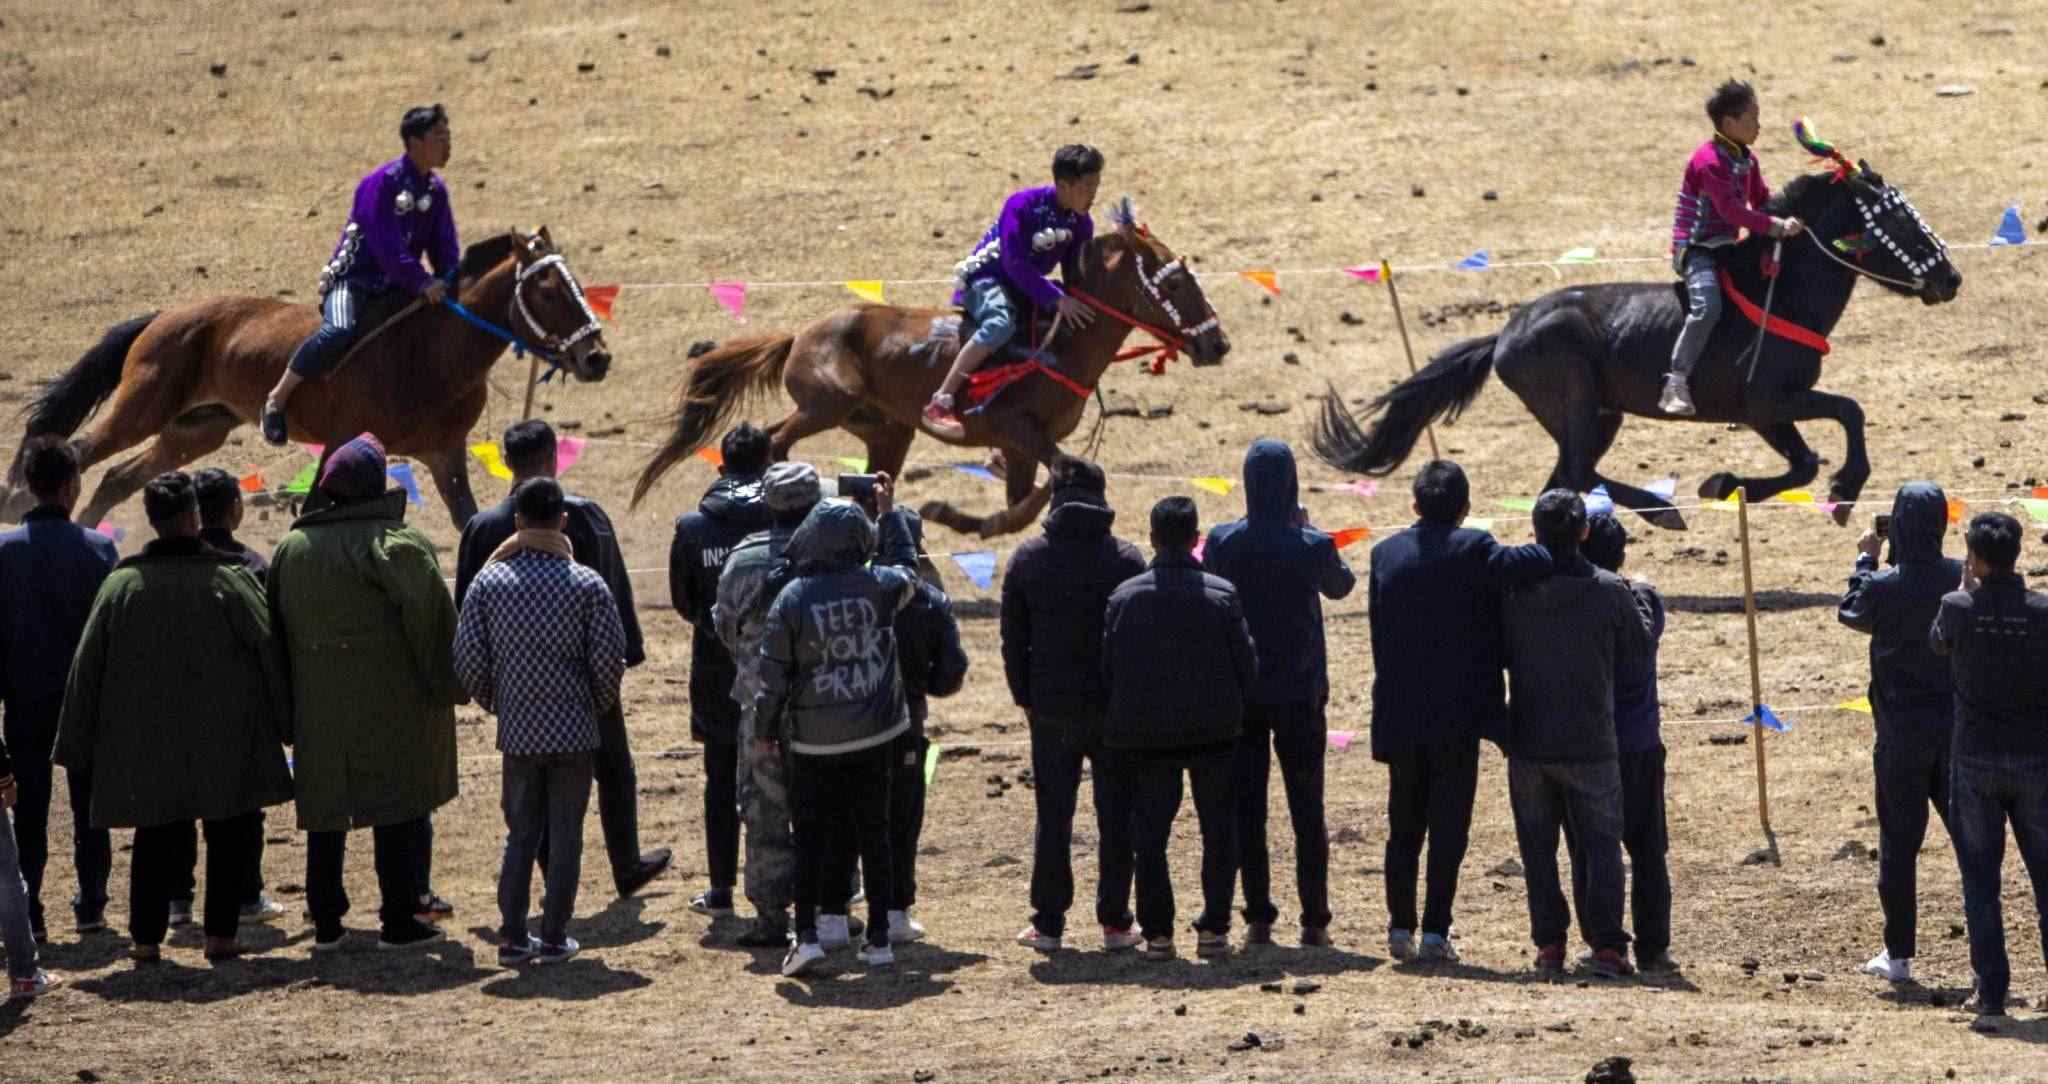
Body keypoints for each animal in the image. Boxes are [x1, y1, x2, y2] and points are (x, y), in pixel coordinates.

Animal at [2, 228, 611, 529]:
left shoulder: (444, 455)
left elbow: (468, 521)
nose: (596, 358)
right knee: (76, 450)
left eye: (576, 284)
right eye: (548, 291)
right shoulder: (342, 442)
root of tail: (164, 316)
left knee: (114, 479)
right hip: (142, 410)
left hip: (194, 431)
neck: (428, 355)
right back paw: (24, 503)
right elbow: (318, 507)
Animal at [631, 209, 1231, 537]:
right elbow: (1054, 479)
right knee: (776, 437)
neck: (1063, 341)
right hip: (826, 402)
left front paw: (955, 515)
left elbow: (1022, 502)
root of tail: (801, 333)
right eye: (1175, 283)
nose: (1217, 343)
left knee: (865, 475)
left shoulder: (1020, 448)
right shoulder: (1017, 430)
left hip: (885, 430)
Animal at [1312, 162, 1962, 528]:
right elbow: (1846, 416)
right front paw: (1843, 488)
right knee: (1577, 472)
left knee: (1564, 479)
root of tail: (1506, 334)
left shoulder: (1772, 412)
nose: (1950, 278)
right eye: (1896, 221)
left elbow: (1806, 458)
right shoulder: (1768, 405)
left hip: (1600, 416)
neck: (1779, 292)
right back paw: (1663, 510)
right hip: (1578, 405)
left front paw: (1730, 485)